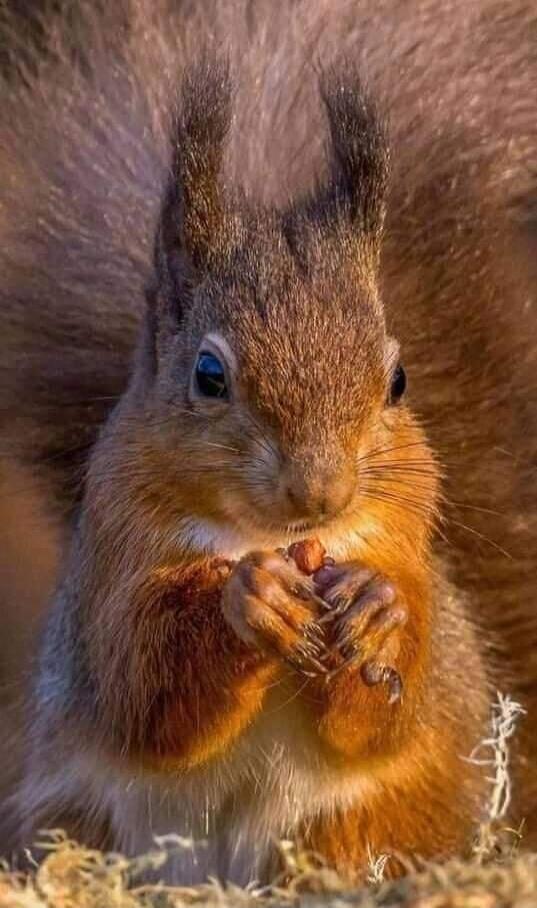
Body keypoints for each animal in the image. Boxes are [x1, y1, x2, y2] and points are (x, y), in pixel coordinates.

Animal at [0, 0, 536, 886]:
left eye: (397, 380)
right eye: (209, 375)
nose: (321, 493)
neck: (271, 537)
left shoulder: (403, 541)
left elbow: (384, 710)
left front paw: (377, 610)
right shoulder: (111, 568)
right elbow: (144, 688)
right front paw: (245, 602)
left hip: (362, 823)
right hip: (82, 820)